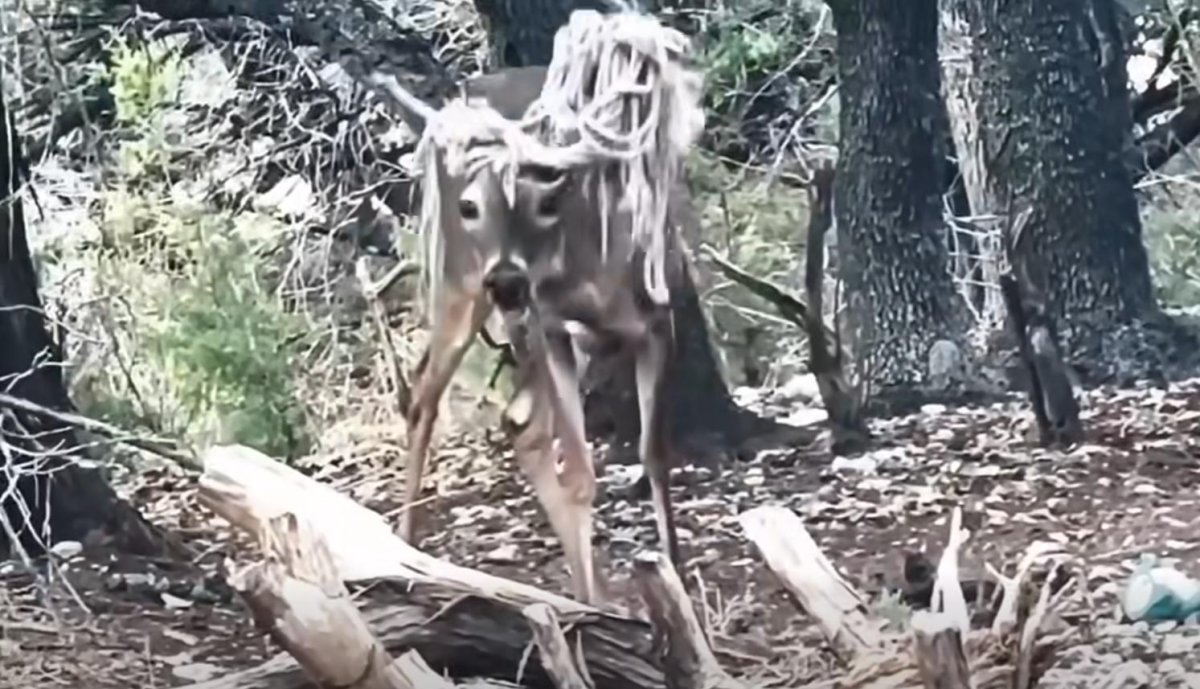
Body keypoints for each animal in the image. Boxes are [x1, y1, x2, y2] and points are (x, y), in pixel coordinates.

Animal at [369, 10, 703, 604]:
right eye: (469, 206)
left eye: (547, 199)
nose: (505, 280)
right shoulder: (551, 328)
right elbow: (582, 474)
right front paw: (600, 602)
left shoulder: (657, 323)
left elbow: (654, 456)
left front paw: (675, 580)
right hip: (457, 288)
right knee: (425, 393)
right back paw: (406, 546)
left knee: (517, 421)